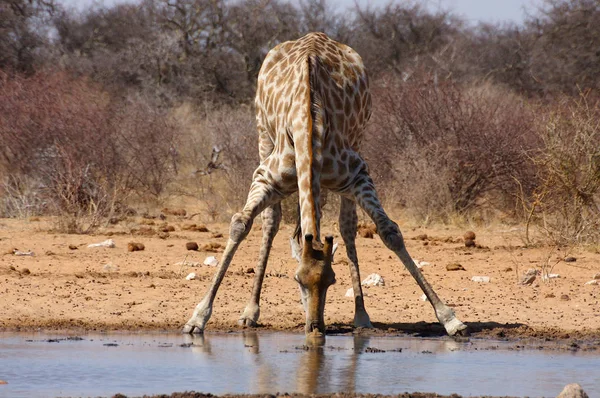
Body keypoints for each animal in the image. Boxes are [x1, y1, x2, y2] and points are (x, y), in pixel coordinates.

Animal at [183, 33, 468, 338]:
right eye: (298, 279)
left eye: (331, 280)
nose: (315, 327)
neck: (309, 126)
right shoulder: (266, 177)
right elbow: (241, 224)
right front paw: (197, 318)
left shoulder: (358, 174)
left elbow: (389, 231)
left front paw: (450, 319)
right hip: (262, 133)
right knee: (272, 220)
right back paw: (251, 311)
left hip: (358, 139)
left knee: (346, 225)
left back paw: (361, 315)